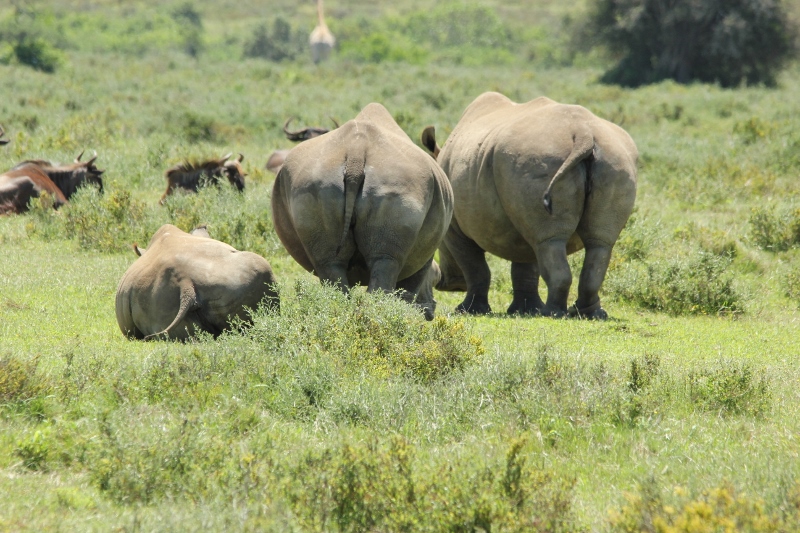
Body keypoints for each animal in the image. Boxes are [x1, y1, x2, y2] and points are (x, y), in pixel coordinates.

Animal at [272, 103, 454, 320]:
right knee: (385, 262)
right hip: (398, 186)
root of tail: (356, 154)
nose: (430, 313)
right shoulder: (426, 254)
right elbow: (411, 287)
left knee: (331, 265)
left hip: (314, 185)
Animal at [422, 91, 640, 318]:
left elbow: (475, 267)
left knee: (550, 242)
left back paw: (552, 313)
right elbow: (526, 265)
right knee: (591, 242)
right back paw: (589, 314)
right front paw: (525, 310)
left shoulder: (455, 228)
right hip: (611, 160)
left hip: (538, 158)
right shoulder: (520, 215)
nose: (451, 285)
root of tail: (584, 134)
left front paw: (469, 310)